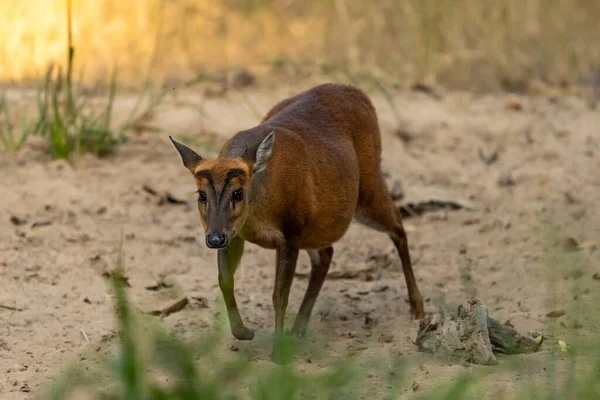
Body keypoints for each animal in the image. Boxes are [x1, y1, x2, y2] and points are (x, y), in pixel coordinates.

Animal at [171, 83, 424, 360]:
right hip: (317, 223)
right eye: (201, 195)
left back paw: (418, 309)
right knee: (326, 254)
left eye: (238, 193)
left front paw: (277, 354)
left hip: (367, 188)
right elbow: (225, 279)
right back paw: (299, 328)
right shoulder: (236, 234)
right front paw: (245, 332)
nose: (214, 238)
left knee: (398, 226)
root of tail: (358, 92)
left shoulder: (291, 231)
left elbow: (279, 295)